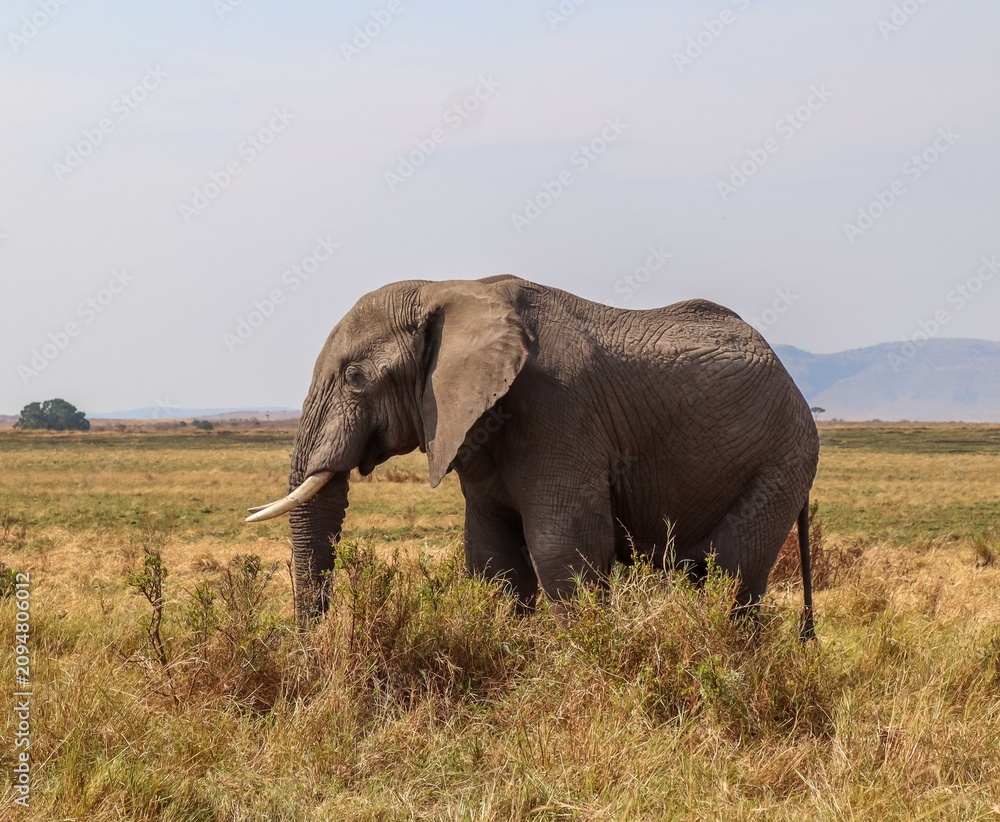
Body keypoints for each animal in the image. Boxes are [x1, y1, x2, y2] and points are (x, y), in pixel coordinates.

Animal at [247, 276, 820, 636]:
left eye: (355, 377)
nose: (307, 646)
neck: (449, 291)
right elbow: (492, 556)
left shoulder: (560, 413)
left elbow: (562, 547)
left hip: (781, 461)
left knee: (734, 570)